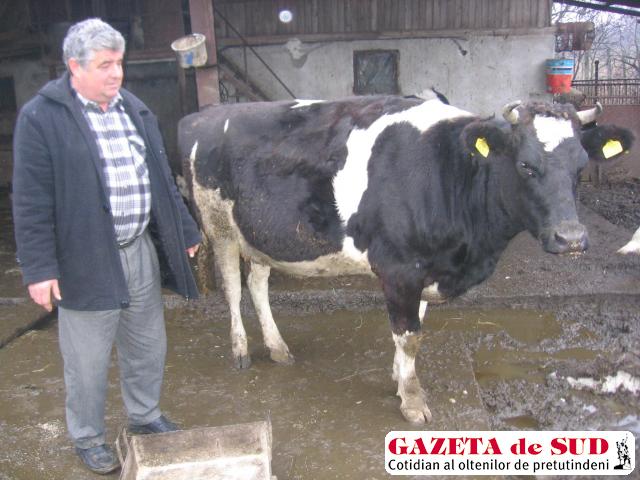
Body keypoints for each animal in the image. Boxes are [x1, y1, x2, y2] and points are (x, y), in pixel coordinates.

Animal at [178, 92, 633, 424]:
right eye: (526, 166)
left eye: (580, 168)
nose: (571, 238)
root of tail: (203, 114)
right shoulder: (400, 270)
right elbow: (410, 334)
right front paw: (413, 401)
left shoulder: (425, 270)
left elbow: (413, 329)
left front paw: (399, 378)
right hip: (219, 228)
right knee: (233, 289)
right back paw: (240, 351)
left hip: (262, 234)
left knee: (257, 285)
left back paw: (277, 347)